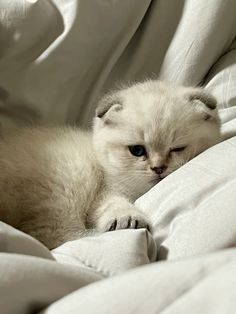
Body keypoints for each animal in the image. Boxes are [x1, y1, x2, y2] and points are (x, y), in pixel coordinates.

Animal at [0, 80, 221, 248]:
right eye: (137, 150)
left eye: (177, 149)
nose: (158, 168)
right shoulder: (103, 193)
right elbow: (113, 204)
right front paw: (127, 220)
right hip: (71, 180)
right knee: (50, 236)